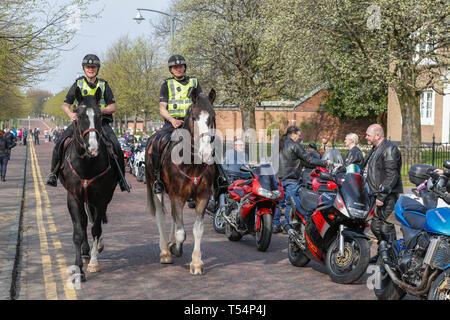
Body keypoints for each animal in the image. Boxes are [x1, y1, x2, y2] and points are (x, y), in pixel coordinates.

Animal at [59, 86, 118, 282]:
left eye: (99, 115)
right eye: (79, 115)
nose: (93, 148)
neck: (87, 164)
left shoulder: (101, 199)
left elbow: (96, 229)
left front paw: (93, 263)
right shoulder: (73, 197)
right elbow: (78, 231)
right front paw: (78, 269)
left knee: (93, 222)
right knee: (84, 221)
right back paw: (85, 252)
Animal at [144, 87, 214, 276]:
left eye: (212, 117)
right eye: (194, 117)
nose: (206, 153)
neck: (192, 163)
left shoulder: (203, 197)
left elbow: (197, 230)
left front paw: (196, 263)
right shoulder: (177, 196)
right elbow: (182, 232)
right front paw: (175, 248)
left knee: (175, 218)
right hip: (156, 189)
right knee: (161, 217)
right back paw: (165, 252)